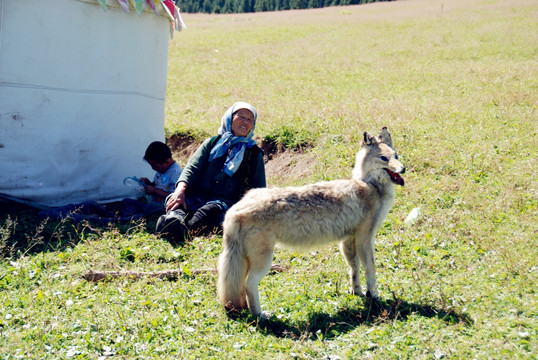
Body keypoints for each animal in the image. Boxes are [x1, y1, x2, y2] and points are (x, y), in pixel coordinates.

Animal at [215, 126, 402, 316]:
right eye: (384, 158)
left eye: (396, 156)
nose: (403, 169)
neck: (370, 185)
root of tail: (233, 211)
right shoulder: (365, 239)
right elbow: (371, 269)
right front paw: (374, 295)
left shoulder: (349, 240)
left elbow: (354, 269)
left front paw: (357, 292)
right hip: (263, 263)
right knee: (249, 285)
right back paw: (261, 315)